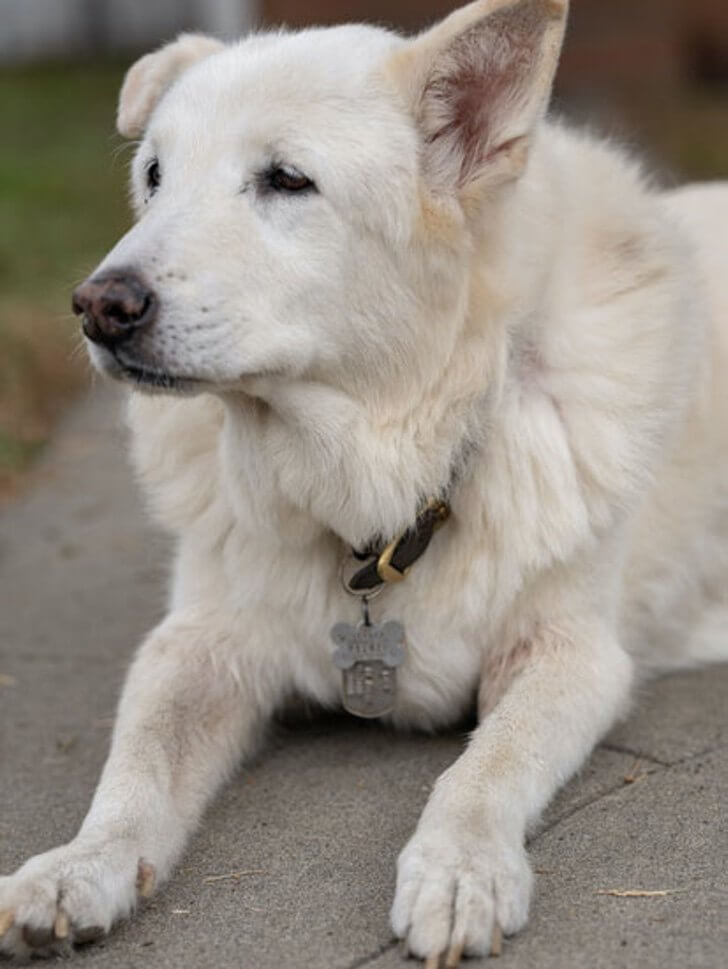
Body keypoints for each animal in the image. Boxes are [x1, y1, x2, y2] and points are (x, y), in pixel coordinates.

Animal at [1, 1, 728, 960]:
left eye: (287, 180)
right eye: (154, 176)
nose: (98, 306)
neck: (387, 481)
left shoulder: (570, 651)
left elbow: (485, 767)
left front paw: (459, 868)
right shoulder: (198, 643)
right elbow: (136, 770)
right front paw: (79, 865)